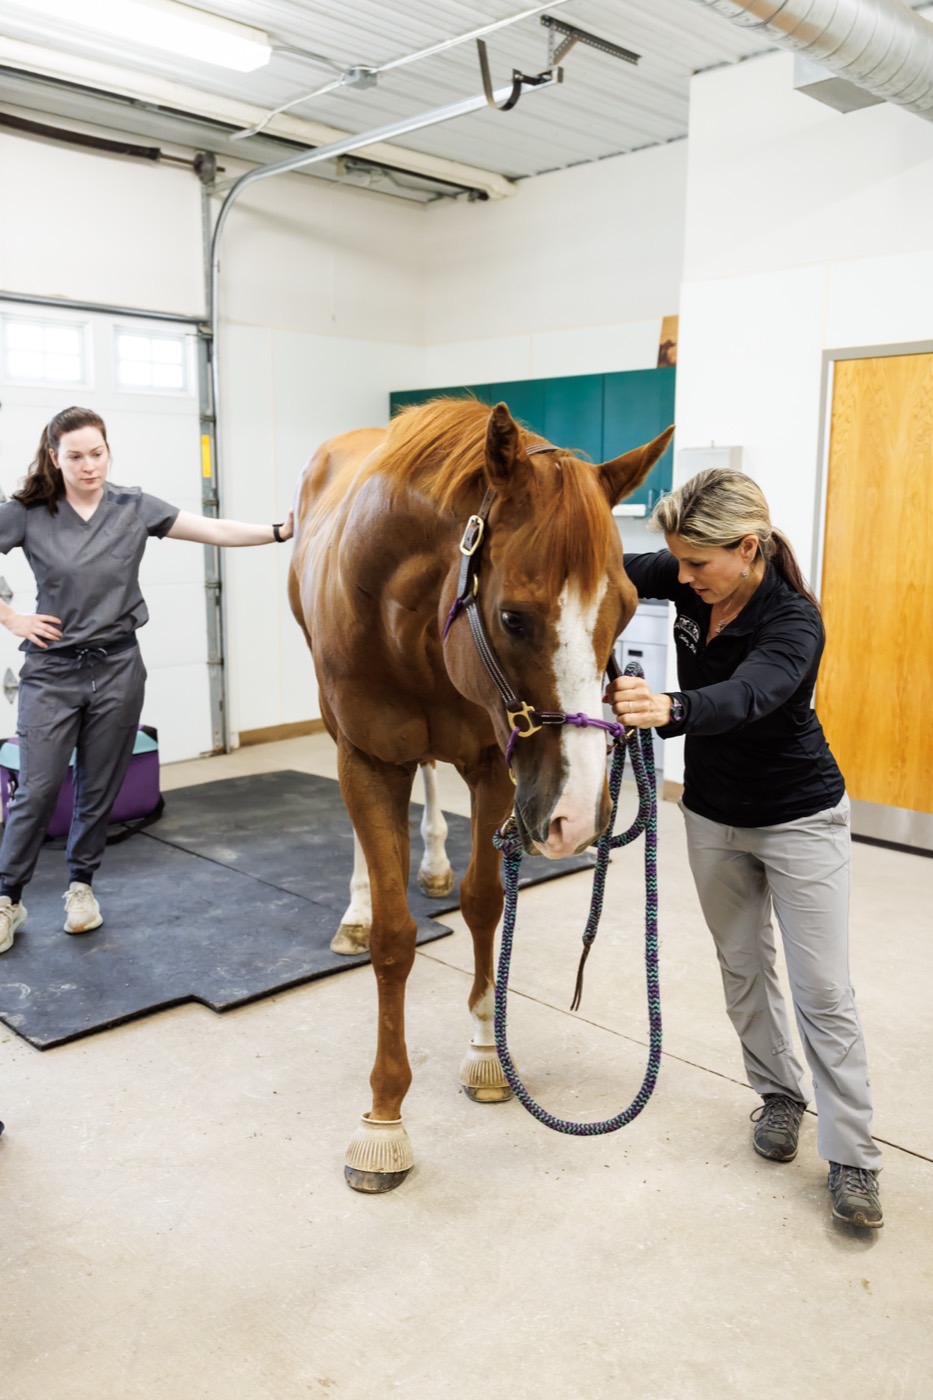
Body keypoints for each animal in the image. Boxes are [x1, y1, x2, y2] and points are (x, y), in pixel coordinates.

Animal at [289, 397, 673, 1192]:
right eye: (512, 618)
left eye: (626, 611)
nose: (578, 819)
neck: (403, 608)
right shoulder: (367, 760)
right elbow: (396, 940)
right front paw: (383, 1118)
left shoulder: (494, 765)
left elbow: (484, 903)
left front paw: (485, 1050)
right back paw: (355, 910)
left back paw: (433, 862)